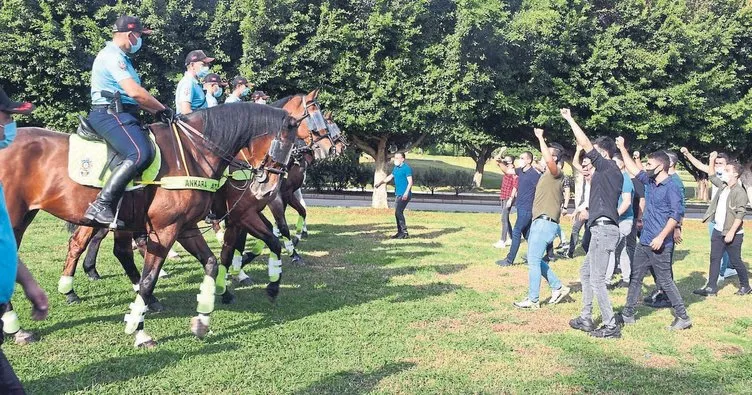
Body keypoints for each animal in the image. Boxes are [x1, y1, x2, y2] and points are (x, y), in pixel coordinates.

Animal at [0, 103, 300, 348]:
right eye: (283, 144)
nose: (268, 188)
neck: (193, 152)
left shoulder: (187, 227)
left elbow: (215, 261)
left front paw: (204, 316)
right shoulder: (170, 229)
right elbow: (149, 279)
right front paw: (139, 330)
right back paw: (18, 323)